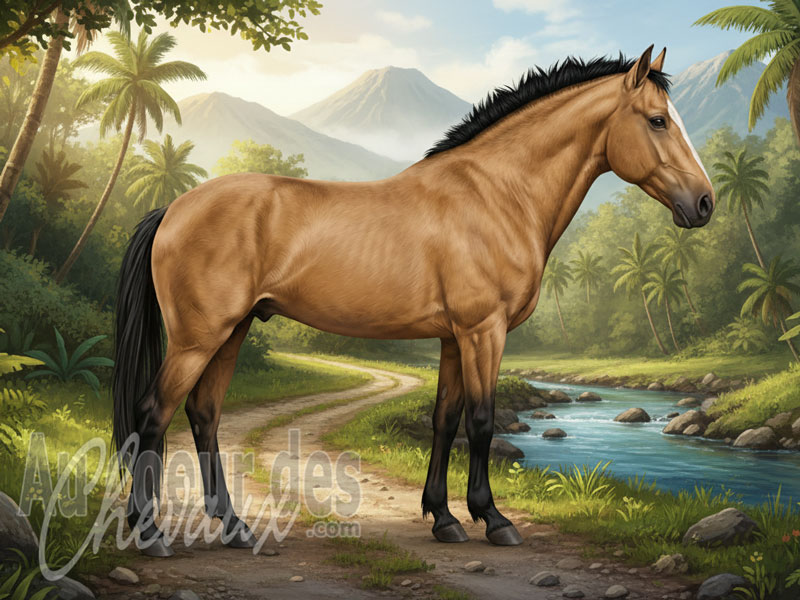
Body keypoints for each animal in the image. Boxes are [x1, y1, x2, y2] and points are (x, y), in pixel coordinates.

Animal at [112, 45, 715, 556]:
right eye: (657, 120)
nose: (705, 203)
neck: (497, 193)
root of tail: (172, 208)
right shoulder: (484, 331)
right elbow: (481, 421)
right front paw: (494, 520)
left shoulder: (453, 337)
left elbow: (444, 419)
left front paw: (444, 518)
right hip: (198, 337)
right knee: (153, 412)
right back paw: (150, 534)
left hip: (231, 331)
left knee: (204, 414)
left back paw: (234, 527)